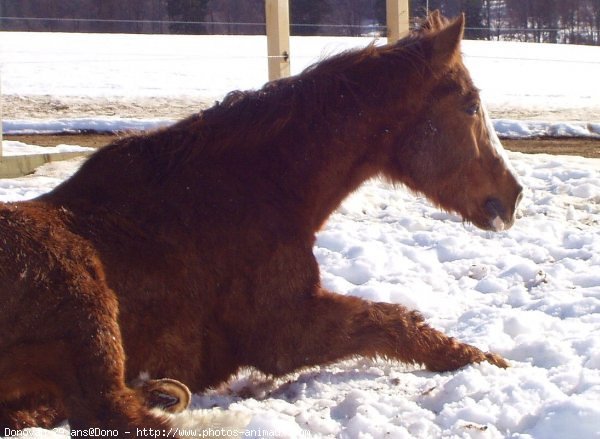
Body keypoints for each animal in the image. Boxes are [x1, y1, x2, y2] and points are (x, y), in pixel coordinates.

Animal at [0, 12, 524, 434]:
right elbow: (395, 322)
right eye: (470, 105)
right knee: (120, 418)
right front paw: (487, 361)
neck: (251, 189)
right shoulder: (283, 332)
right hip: (87, 310)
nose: (513, 197)